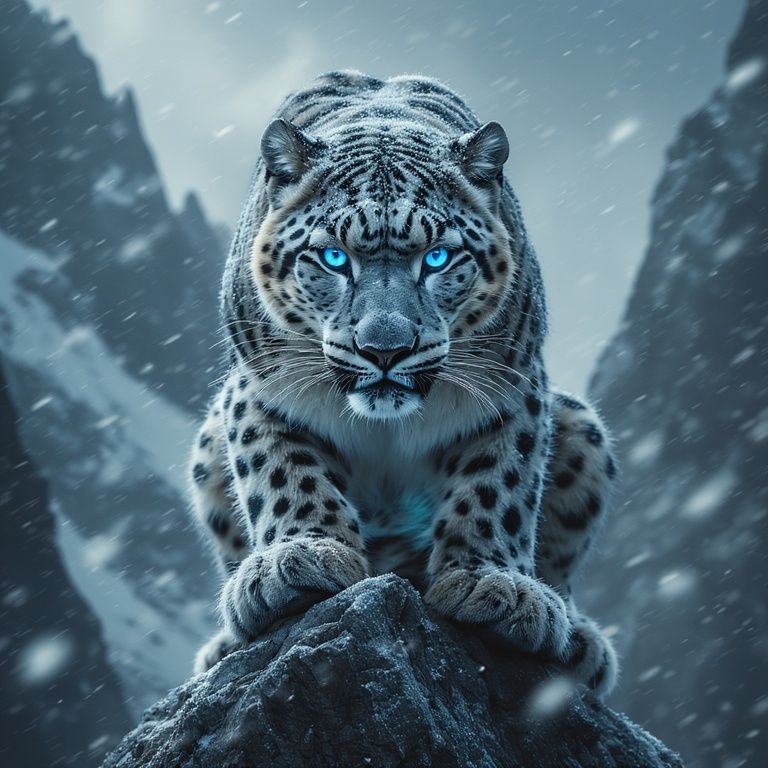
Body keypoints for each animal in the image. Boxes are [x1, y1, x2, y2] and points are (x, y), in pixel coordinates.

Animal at [188, 70, 619, 697]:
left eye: (438, 258)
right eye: (333, 257)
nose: (385, 348)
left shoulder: (514, 387)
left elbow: (500, 486)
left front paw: (493, 583)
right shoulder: (262, 388)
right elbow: (281, 471)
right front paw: (301, 557)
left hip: (584, 429)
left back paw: (578, 641)